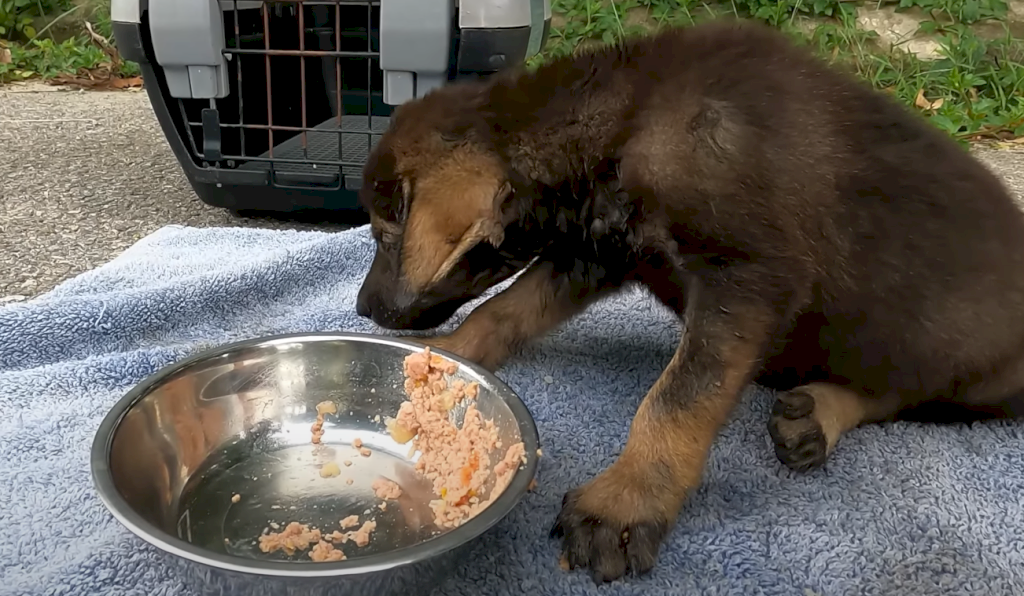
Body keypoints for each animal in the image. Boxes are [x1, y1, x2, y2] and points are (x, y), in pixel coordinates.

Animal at [356, 17, 1024, 585]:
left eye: (385, 235)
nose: (362, 309)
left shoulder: (747, 278)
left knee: (905, 391)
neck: (626, 121)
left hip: (970, 368)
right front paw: (449, 356)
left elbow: (677, 399)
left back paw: (824, 411)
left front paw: (625, 502)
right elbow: (506, 309)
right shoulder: (594, 253)